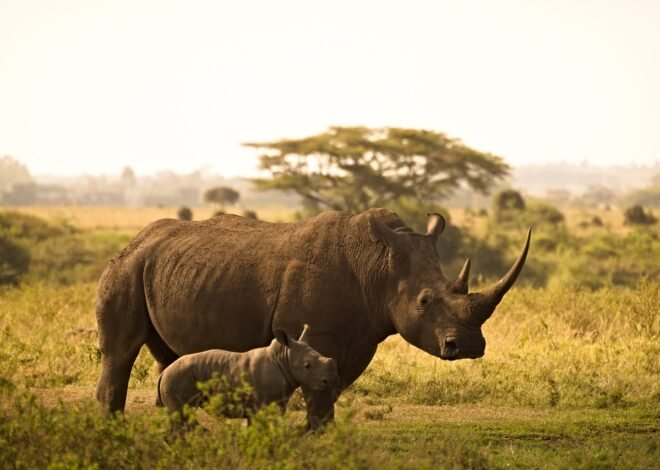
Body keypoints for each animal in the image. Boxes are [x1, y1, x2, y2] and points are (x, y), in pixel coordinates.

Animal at [157, 324, 338, 424]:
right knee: (183, 416)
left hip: (175, 378)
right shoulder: (262, 404)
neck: (284, 358)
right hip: (178, 378)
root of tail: (164, 372)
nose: (331, 380)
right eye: (307, 366)